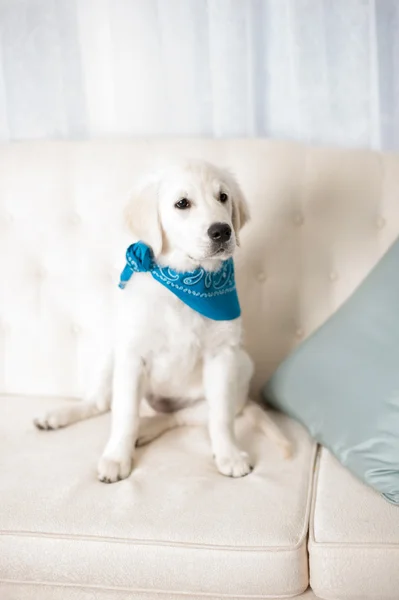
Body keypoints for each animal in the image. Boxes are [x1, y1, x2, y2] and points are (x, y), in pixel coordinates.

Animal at [35, 159, 290, 482]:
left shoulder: (222, 356)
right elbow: (124, 413)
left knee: (178, 416)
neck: (187, 282)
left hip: (241, 370)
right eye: (182, 203)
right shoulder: (132, 354)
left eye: (223, 197)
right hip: (113, 349)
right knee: (101, 402)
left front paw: (229, 454)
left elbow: (220, 417)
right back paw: (58, 415)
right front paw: (117, 457)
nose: (222, 231)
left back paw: (148, 428)